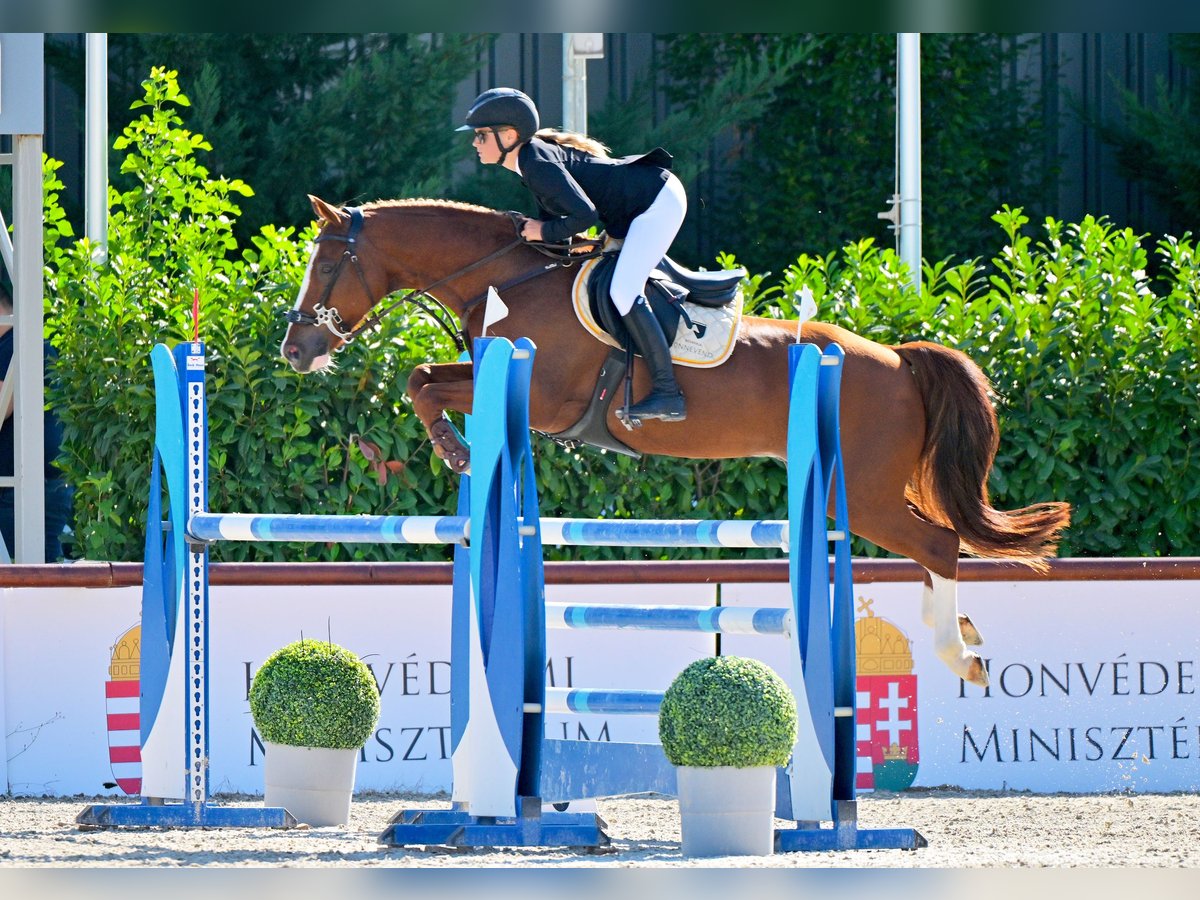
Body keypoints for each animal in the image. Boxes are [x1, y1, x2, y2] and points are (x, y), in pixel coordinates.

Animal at [280, 194, 1070, 686]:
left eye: (326, 264)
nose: (295, 349)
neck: (508, 277)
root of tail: (900, 359)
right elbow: (422, 375)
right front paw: (455, 450)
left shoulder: (542, 399)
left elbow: (424, 384)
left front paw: (454, 449)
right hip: (866, 488)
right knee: (937, 541)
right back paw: (961, 631)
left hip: (866, 493)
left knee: (939, 541)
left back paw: (959, 654)